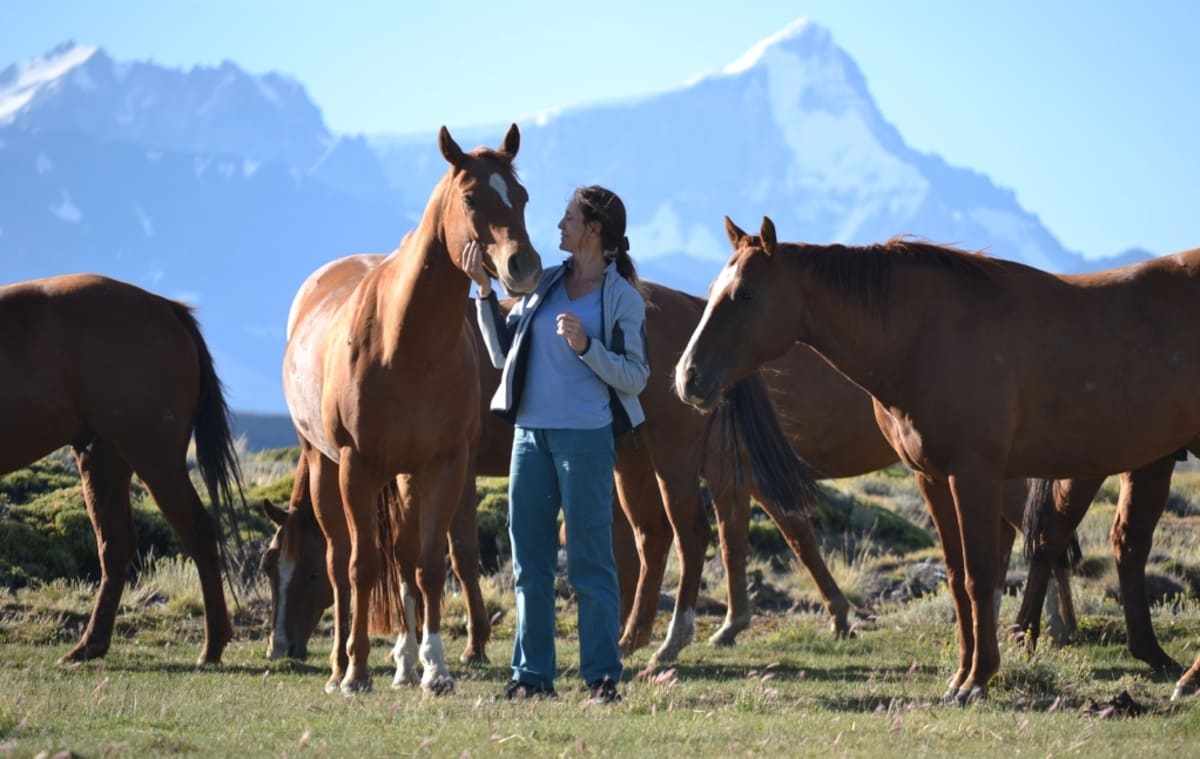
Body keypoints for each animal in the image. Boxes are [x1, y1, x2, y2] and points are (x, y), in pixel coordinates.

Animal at [0, 274, 244, 665]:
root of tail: (166, 308)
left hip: (154, 460)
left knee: (198, 532)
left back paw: (211, 646)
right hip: (103, 457)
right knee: (116, 545)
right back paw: (91, 645)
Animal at [281, 124, 543, 695]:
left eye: (522, 197)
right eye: (471, 197)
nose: (524, 267)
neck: (405, 342)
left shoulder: (442, 464)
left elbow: (428, 565)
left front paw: (436, 668)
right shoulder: (357, 466)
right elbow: (361, 567)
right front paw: (357, 671)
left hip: (401, 475)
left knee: (402, 557)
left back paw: (405, 662)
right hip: (323, 464)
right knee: (343, 561)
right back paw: (339, 667)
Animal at [675, 216, 1200, 703]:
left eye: (745, 295)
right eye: (712, 291)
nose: (687, 377)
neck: (923, 337)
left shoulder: (975, 473)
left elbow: (980, 574)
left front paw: (981, 677)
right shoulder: (931, 477)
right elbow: (954, 576)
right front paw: (961, 676)